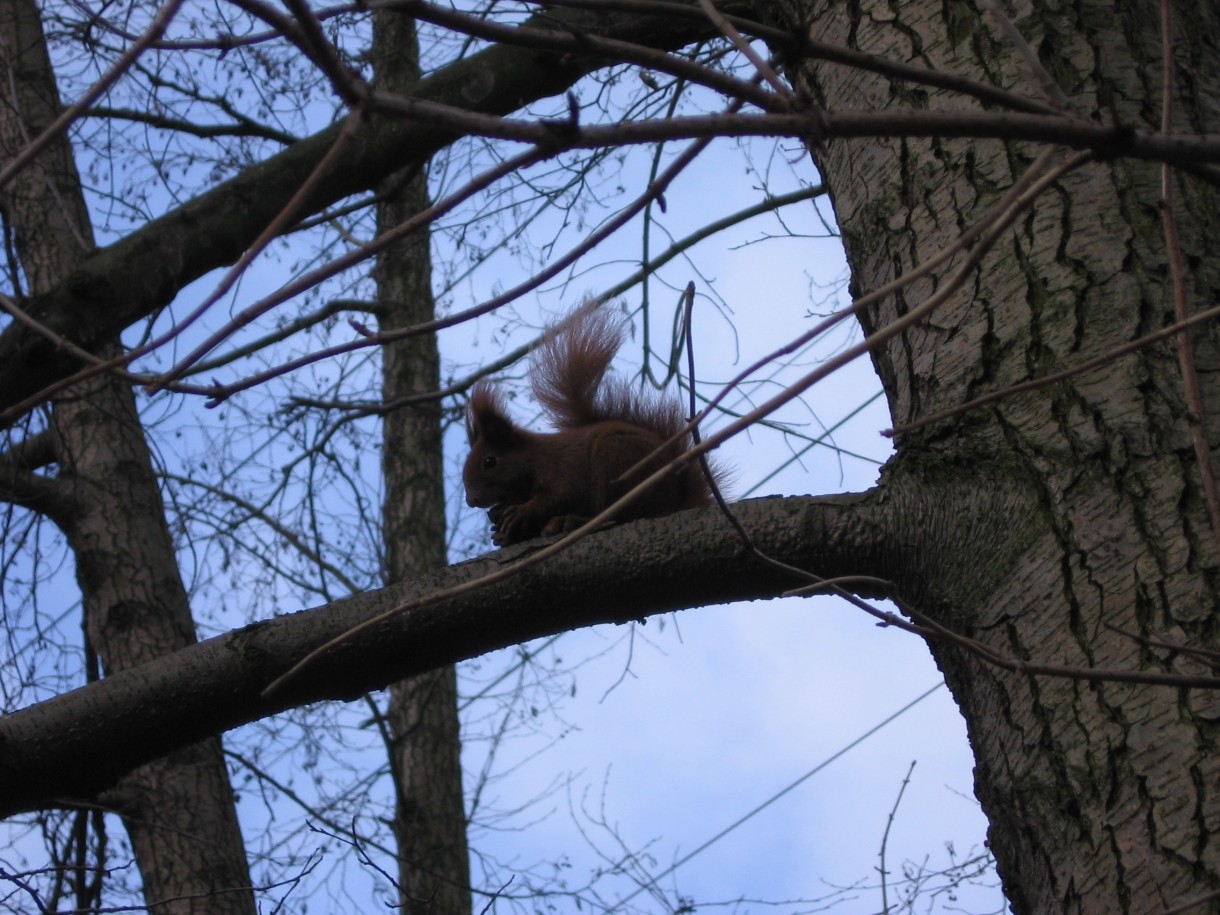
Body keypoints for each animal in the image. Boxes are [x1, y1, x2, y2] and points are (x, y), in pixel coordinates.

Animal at [463, 305, 712, 549]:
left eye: (489, 462)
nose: (471, 501)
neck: (532, 458)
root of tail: (677, 501)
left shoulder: (562, 468)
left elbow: (558, 496)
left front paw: (522, 512)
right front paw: (501, 527)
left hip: (619, 464)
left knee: (620, 514)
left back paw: (572, 520)